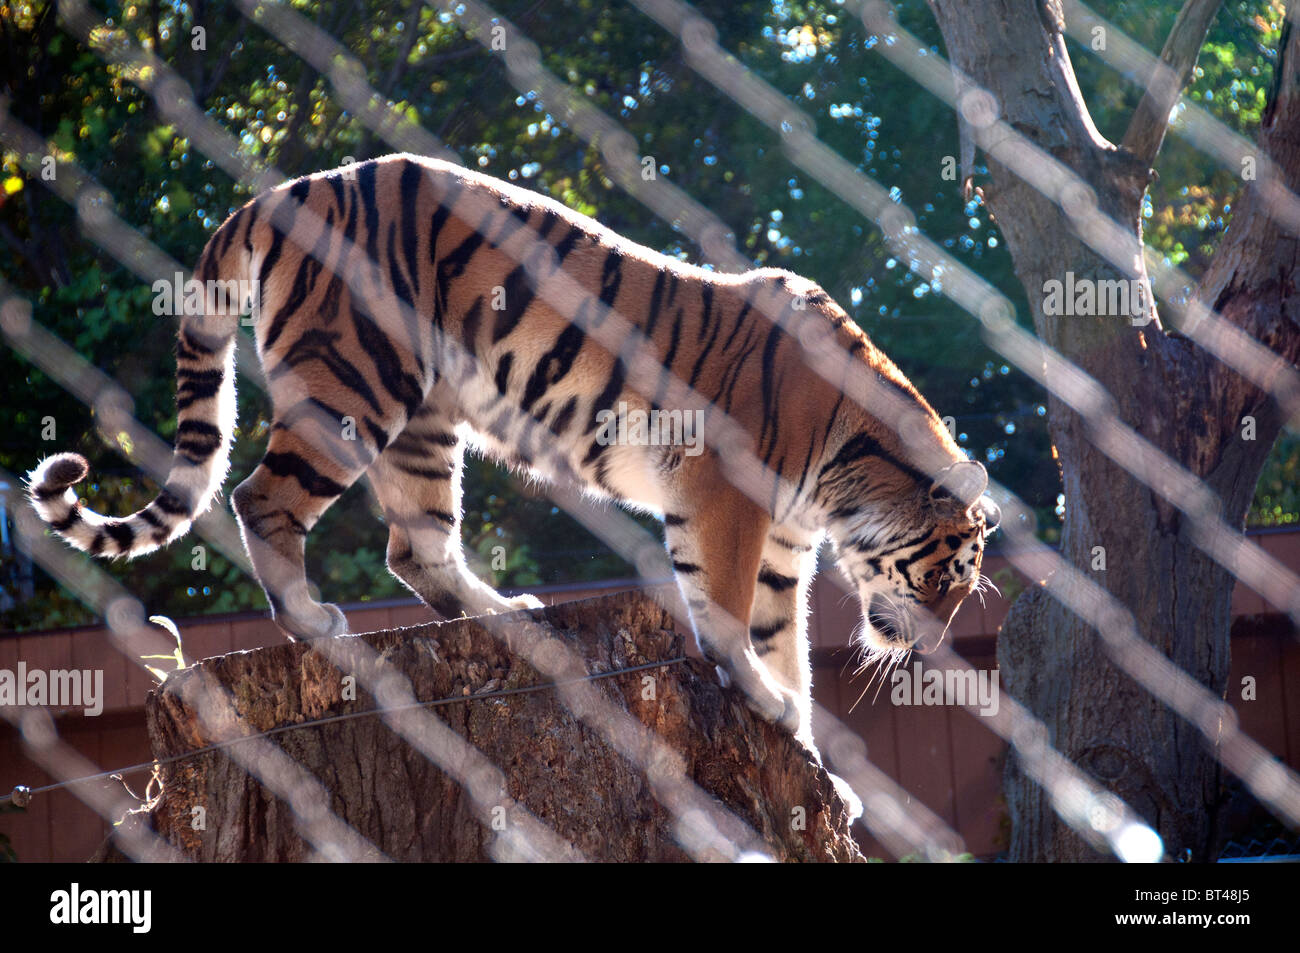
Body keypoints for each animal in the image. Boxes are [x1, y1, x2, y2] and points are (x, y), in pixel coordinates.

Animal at [32, 152, 1003, 816]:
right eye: (948, 576)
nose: (929, 645)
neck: (847, 476)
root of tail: (281, 190)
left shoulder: (782, 545)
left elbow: (783, 639)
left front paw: (804, 746)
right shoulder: (725, 494)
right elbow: (729, 614)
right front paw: (764, 698)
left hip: (425, 422)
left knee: (414, 545)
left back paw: (509, 615)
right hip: (355, 382)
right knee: (260, 499)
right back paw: (315, 624)